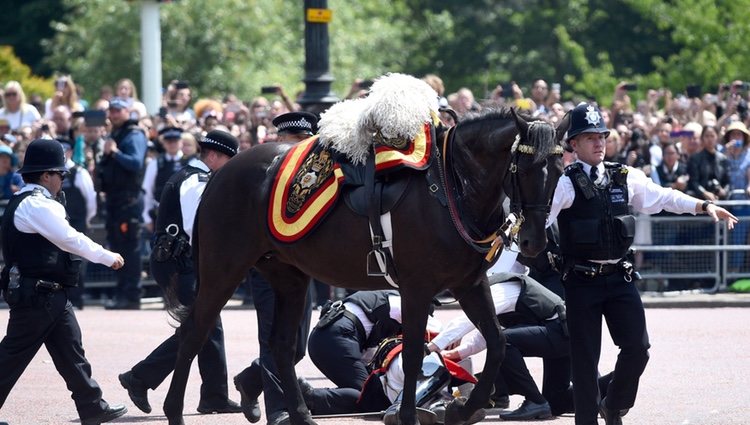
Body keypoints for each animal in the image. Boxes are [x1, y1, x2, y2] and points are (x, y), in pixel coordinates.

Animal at [162, 107, 568, 422]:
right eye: (524, 169)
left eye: (558, 170)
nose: (533, 241)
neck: (451, 187)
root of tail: (221, 174)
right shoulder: (417, 287)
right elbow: (415, 353)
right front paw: (408, 415)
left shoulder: (469, 284)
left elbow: (497, 341)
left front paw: (461, 410)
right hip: (222, 271)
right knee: (193, 334)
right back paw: (174, 412)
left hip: (289, 278)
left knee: (280, 346)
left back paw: (299, 414)